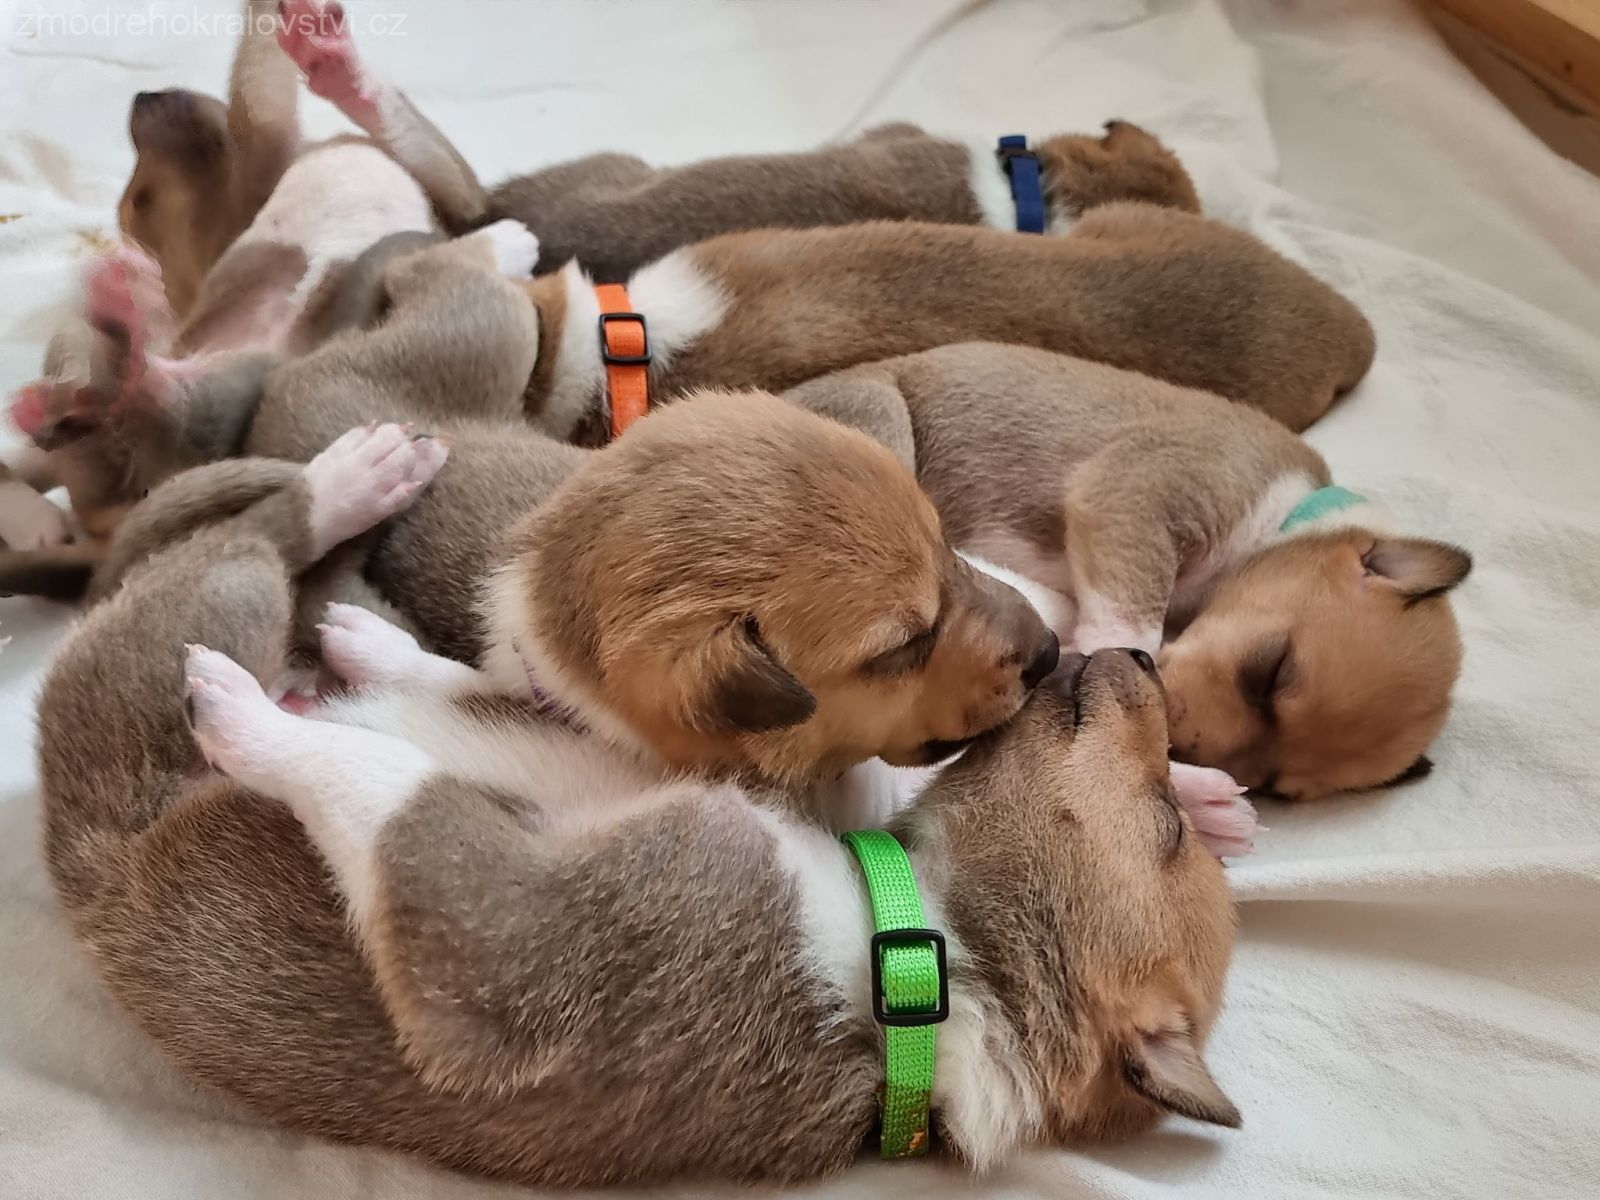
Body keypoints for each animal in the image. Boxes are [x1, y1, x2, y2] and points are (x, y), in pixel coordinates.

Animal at [40, 425, 1236, 1187]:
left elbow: (380, 780)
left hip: (175, 642)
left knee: (236, 559)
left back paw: (297, 576)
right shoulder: (662, 768)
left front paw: (259, 725)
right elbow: (488, 689)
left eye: (1164, 830)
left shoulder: (511, 948)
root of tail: (78, 865)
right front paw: (380, 654)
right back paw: (357, 514)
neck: (916, 947)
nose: (1135, 658)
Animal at [786, 342, 1472, 801]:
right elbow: (1131, 621)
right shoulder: (1133, 495)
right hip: (879, 418)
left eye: (1273, 786)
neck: (1283, 514)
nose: (1177, 749)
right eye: (1273, 673)